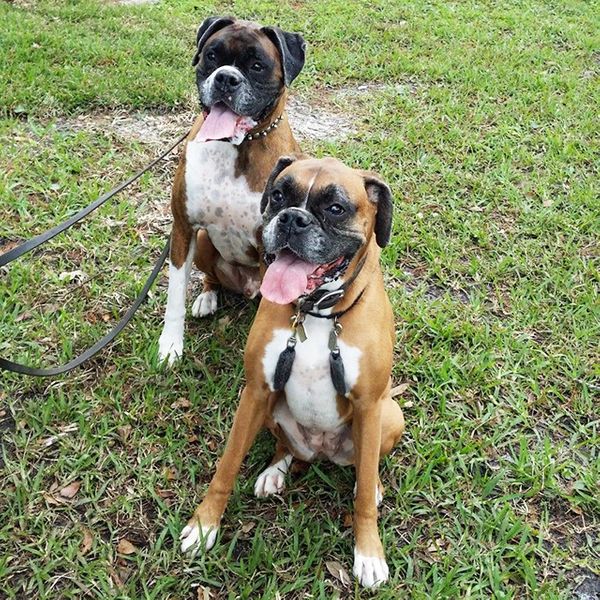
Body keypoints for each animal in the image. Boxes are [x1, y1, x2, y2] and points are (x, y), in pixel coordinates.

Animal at [157, 17, 304, 366]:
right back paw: (208, 297)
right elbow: (174, 295)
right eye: (212, 55)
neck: (235, 148)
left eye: (257, 65)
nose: (226, 77)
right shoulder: (183, 229)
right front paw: (170, 345)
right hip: (202, 241)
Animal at [182, 157, 408, 588]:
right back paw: (275, 471)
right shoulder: (256, 390)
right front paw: (205, 525)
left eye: (336, 208)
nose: (292, 219)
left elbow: (363, 491)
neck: (317, 314)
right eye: (278, 195)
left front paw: (369, 552)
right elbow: (227, 465)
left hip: (389, 415)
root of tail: (320, 450)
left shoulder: (369, 405)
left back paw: (371, 486)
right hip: (273, 410)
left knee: (366, 465)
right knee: (289, 448)